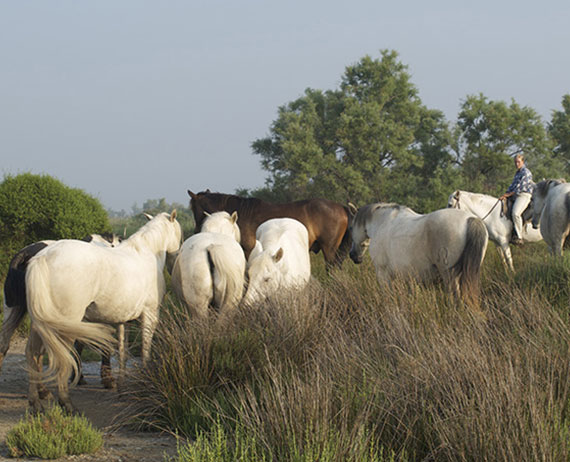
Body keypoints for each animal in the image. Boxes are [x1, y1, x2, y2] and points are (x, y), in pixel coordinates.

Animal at [23, 211, 180, 410]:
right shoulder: (150, 315)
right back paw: (66, 403)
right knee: (62, 356)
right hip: (65, 324)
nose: (177, 256)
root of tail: (41, 258)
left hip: (40, 323)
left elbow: (122, 353)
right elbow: (145, 350)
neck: (147, 253)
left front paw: (122, 388)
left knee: (32, 353)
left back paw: (35, 402)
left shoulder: (124, 321)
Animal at [348, 204, 486, 302]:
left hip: (450, 277)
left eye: (350, 228)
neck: (381, 223)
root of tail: (470, 219)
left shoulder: (383, 274)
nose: (353, 255)